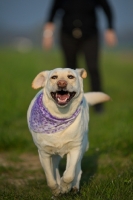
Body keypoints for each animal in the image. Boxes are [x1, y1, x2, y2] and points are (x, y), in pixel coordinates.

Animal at [27, 68, 110, 196]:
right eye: (54, 77)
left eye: (70, 77)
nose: (62, 83)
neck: (61, 115)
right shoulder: (44, 153)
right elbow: (50, 178)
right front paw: (56, 190)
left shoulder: (75, 148)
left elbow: (69, 175)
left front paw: (65, 187)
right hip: (54, 155)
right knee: (55, 169)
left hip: (82, 147)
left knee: (77, 169)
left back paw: (74, 187)